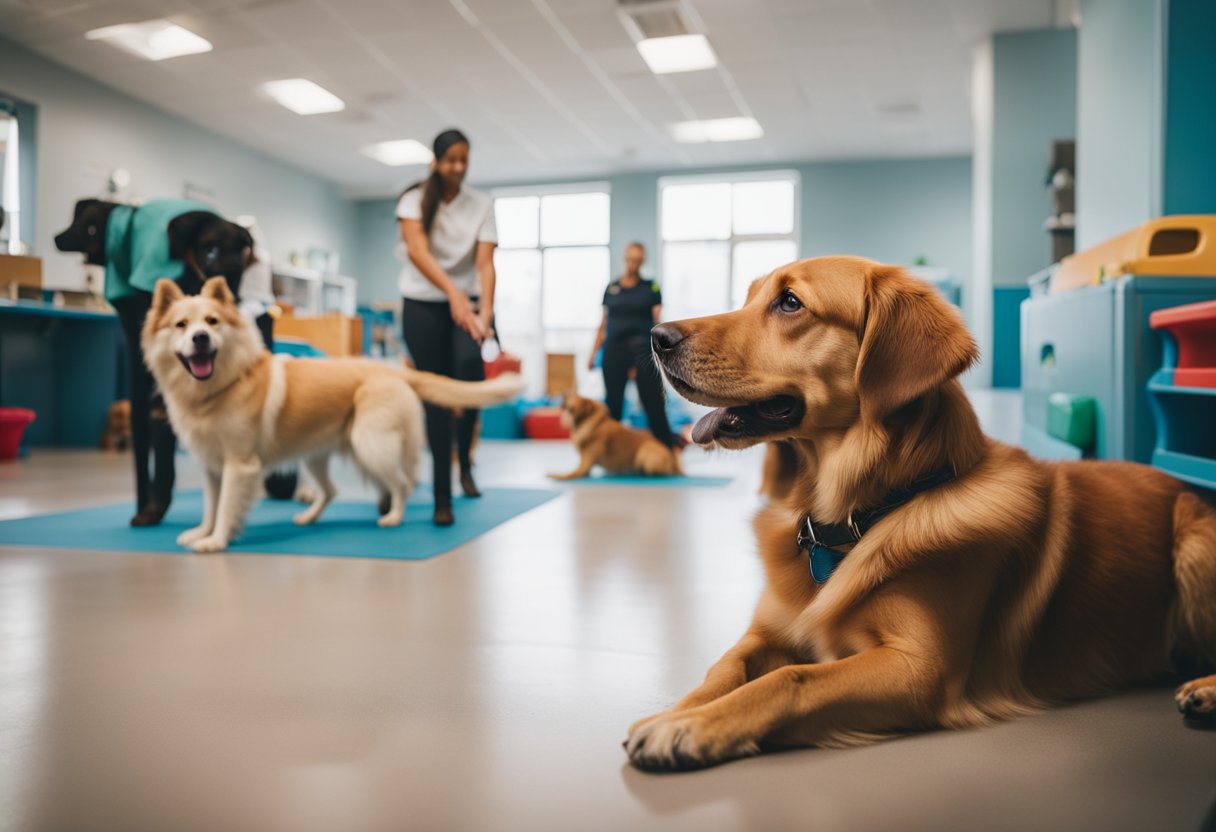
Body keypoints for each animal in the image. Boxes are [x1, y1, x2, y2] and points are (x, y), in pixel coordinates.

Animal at [143, 277, 522, 552]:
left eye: (212, 322)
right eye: (180, 325)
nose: (200, 338)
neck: (223, 384)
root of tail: (392, 369)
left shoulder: (240, 464)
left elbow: (225, 507)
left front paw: (217, 541)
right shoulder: (211, 467)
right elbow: (210, 506)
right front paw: (201, 533)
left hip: (370, 444)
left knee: (402, 483)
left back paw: (393, 518)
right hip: (316, 456)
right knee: (331, 491)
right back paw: (309, 518)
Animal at [554, 396, 685, 481]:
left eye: (575, 396)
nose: (564, 395)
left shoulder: (584, 463)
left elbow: (569, 474)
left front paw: (555, 475)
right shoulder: (585, 465)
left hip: (644, 452)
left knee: (662, 472)